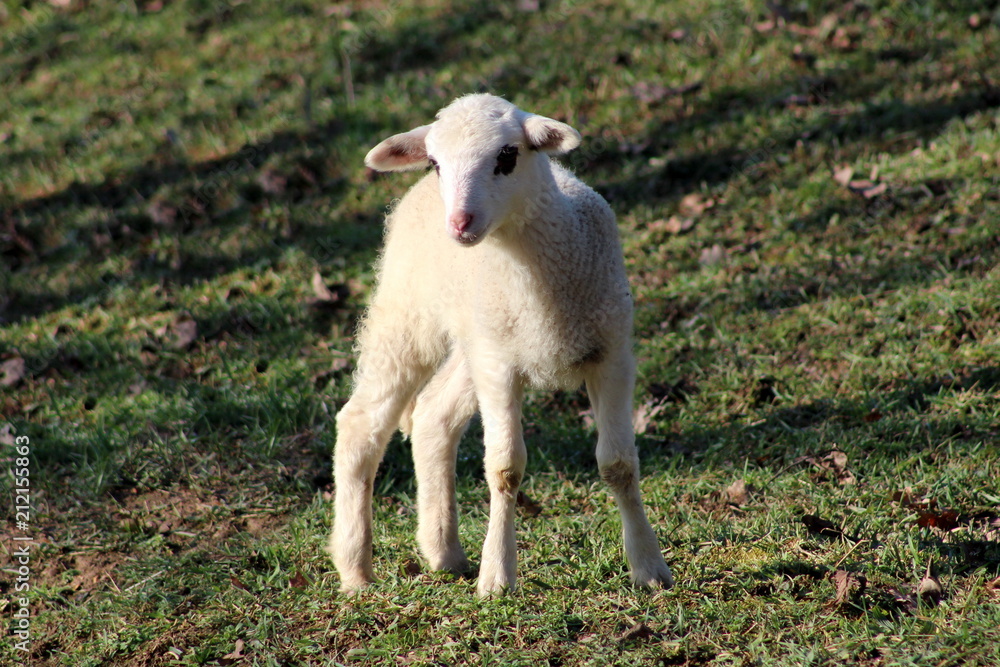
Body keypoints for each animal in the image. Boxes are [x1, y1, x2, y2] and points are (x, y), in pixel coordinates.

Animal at [327, 93, 673, 596]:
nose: (460, 223)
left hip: (476, 339)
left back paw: (443, 551)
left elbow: (619, 464)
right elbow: (505, 469)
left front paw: (648, 567)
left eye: (507, 156)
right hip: (410, 314)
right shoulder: (500, 368)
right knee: (361, 422)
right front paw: (498, 577)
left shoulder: (610, 353)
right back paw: (355, 570)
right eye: (435, 162)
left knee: (433, 414)